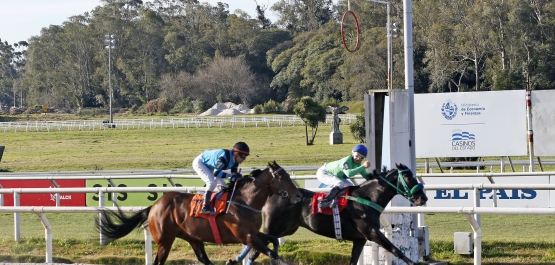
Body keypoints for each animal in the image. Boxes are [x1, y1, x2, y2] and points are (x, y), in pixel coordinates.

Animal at [96, 160, 304, 264]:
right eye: (281, 177)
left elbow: (274, 241)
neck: (245, 201)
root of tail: (154, 206)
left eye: (287, 175)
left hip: (192, 237)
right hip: (165, 241)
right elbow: (272, 253)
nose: (298, 195)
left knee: (203, 259)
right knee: (159, 262)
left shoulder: (253, 233)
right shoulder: (245, 236)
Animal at [240, 163, 430, 264]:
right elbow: (396, 250)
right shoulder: (372, 232)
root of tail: (274, 193)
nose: (423, 197)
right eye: (408, 177)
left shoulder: (360, 239)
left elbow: (354, 260)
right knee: (255, 249)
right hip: (274, 227)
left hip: (286, 229)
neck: (367, 198)